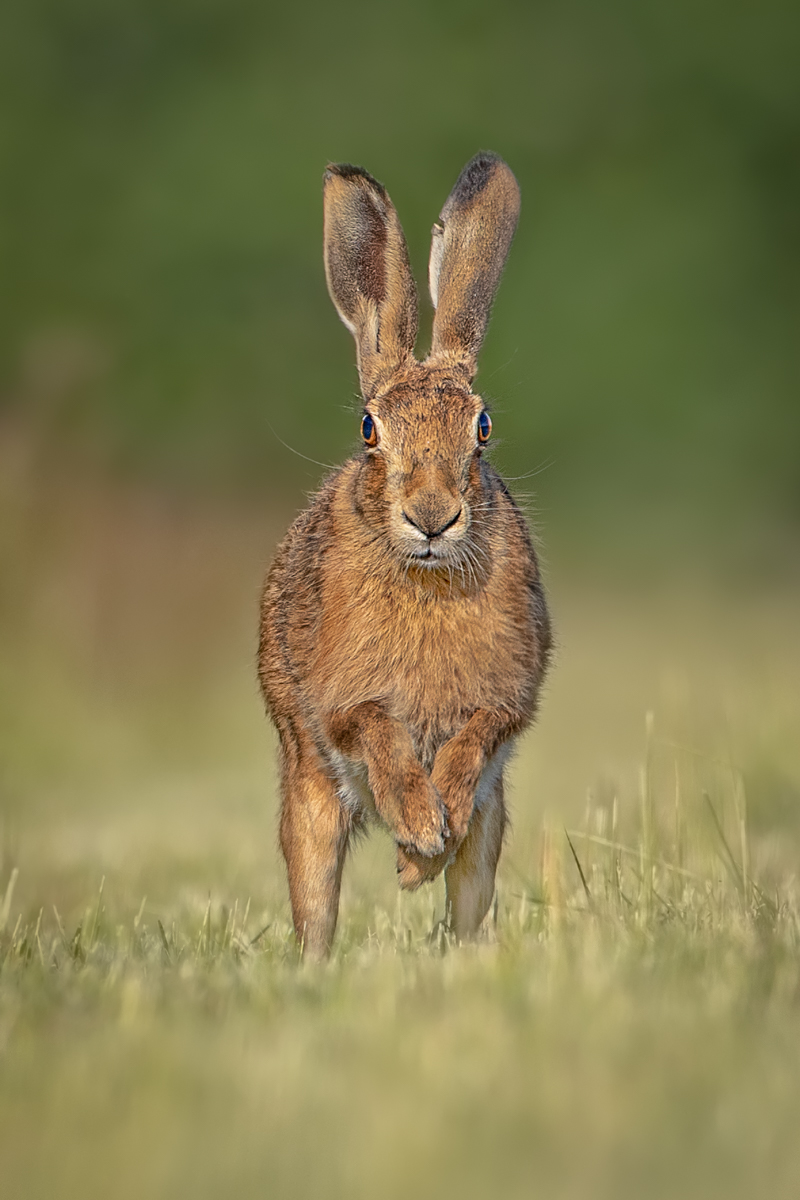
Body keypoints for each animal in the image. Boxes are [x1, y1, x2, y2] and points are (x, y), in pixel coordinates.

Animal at [259, 152, 551, 958]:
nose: (432, 518)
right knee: (315, 895)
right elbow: (377, 731)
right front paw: (419, 825)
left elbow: (476, 735)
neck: (424, 577)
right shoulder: (340, 704)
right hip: (307, 799)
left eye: (483, 426)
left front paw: (427, 835)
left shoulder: (504, 702)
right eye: (369, 427)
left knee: (470, 889)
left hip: (494, 826)